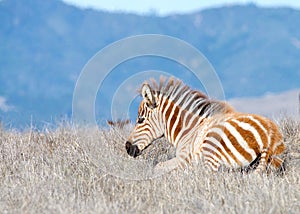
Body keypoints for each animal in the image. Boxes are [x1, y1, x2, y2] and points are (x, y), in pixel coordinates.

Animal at [125, 77, 284, 174]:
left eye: (140, 120)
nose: (127, 147)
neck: (188, 130)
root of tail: (268, 138)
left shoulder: (185, 157)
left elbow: (158, 167)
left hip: (211, 146)